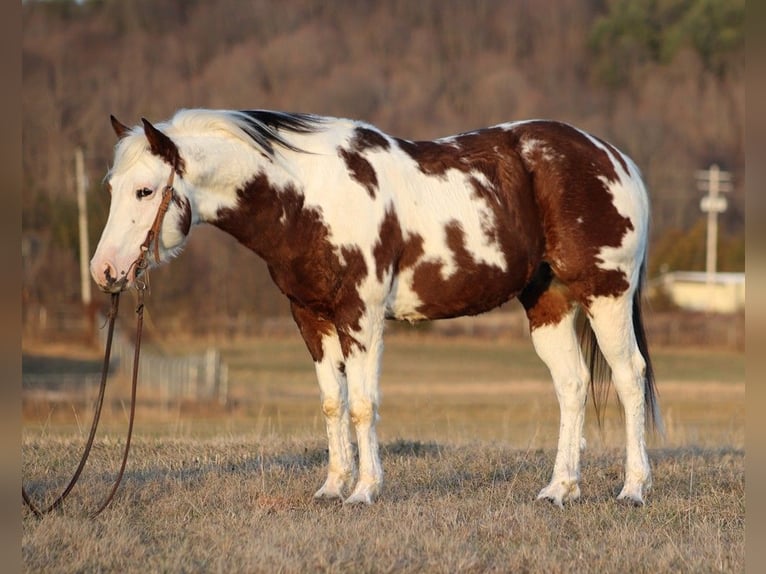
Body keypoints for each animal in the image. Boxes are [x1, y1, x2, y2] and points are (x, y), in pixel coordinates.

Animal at [93, 109, 664, 508]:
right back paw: (560, 489)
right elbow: (333, 403)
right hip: (548, 303)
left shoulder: (360, 316)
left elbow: (363, 404)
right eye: (112, 187)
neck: (308, 197)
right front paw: (332, 487)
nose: (105, 272)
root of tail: (615, 160)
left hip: (606, 294)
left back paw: (634, 489)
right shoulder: (311, 317)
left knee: (629, 377)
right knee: (572, 385)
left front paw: (365, 490)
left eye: (145, 190)